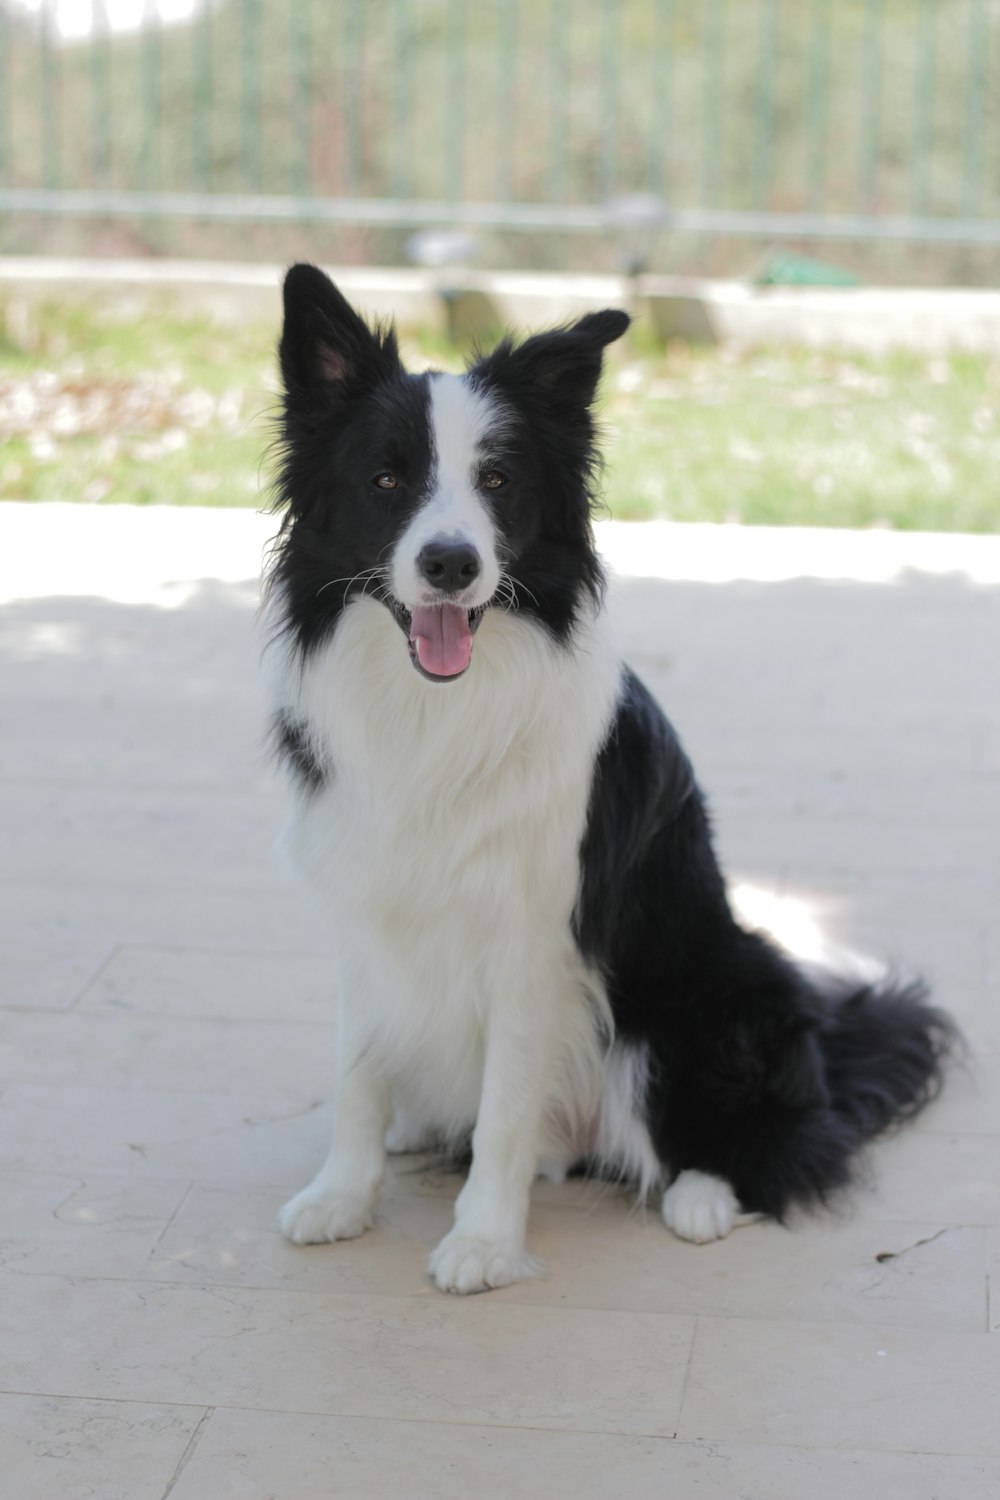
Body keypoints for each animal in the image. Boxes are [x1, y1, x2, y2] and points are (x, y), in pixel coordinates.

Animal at [268, 264, 953, 1296]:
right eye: (385, 479)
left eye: (499, 481)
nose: (451, 562)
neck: (437, 708)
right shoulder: (365, 910)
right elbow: (359, 1068)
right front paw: (342, 1197)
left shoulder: (533, 940)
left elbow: (504, 1110)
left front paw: (483, 1243)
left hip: (716, 988)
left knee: (773, 1144)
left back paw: (703, 1197)